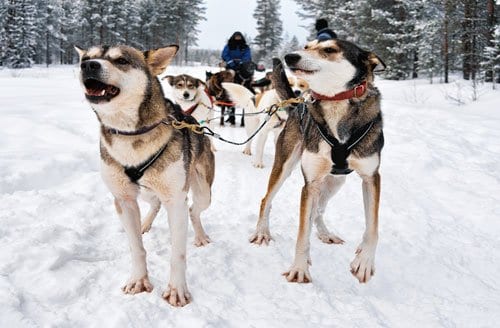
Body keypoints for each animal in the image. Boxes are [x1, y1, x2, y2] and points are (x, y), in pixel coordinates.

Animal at [75, 44, 214, 306]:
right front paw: (139, 280)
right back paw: (145, 224)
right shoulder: (124, 200)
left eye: (121, 60)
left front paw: (177, 289)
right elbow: (136, 248)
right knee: (155, 204)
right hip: (148, 191)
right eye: (87, 57)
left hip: (203, 193)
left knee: (194, 211)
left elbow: (177, 253)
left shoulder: (176, 201)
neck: (131, 134)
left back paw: (200, 236)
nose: (87, 65)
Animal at [250, 37, 386, 284]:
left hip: (335, 181)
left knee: (318, 212)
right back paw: (262, 232)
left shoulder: (371, 177)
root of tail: (297, 104)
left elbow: (372, 227)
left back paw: (324, 233)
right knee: (267, 200)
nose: (290, 56)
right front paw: (299, 268)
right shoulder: (310, 183)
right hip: (285, 167)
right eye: (306, 46)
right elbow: (302, 234)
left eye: (329, 49)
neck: (336, 104)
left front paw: (364, 261)